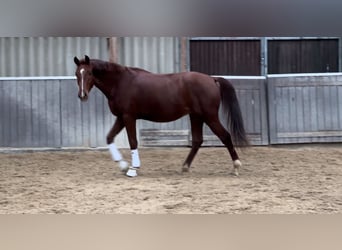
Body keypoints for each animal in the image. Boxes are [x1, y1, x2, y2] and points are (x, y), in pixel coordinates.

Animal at [73, 55, 247, 176]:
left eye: (89, 73)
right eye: (77, 74)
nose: (82, 95)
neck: (121, 82)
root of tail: (212, 79)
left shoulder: (129, 117)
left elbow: (133, 141)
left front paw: (133, 169)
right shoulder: (121, 117)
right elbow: (109, 137)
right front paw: (122, 165)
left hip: (209, 116)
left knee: (225, 135)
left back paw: (236, 166)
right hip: (196, 116)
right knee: (197, 140)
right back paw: (184, 167)